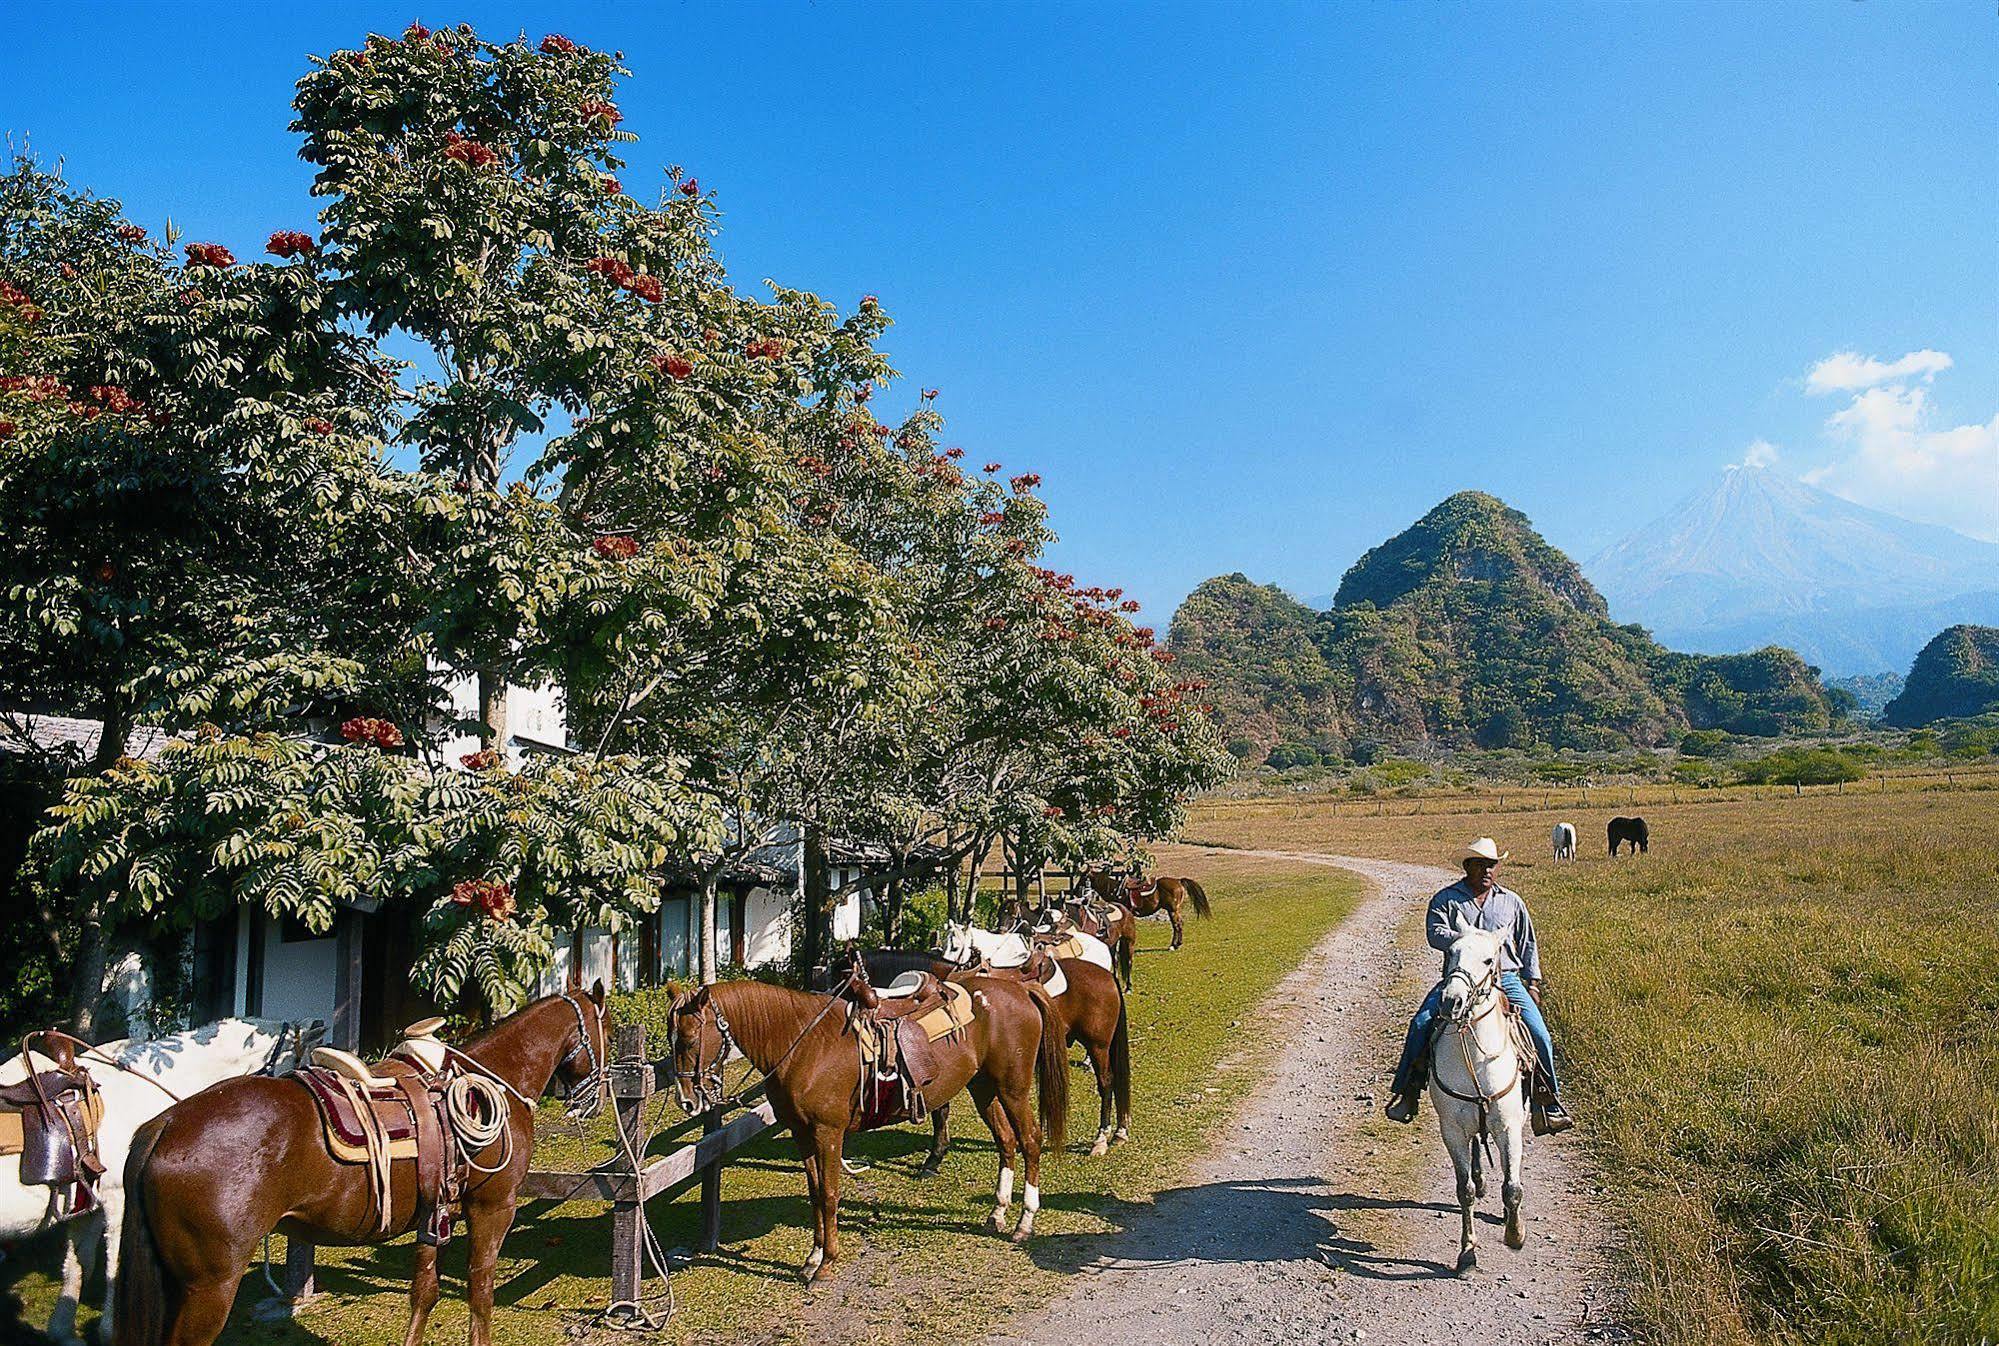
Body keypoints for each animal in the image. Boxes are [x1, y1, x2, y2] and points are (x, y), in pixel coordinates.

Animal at [0, 1012, 319, 1336]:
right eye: (300, 1064)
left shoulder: (88, 1208)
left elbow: (77, 1268)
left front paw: (62, 1331)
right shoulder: (119, 1203)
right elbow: (114, 1269)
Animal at [111, 980, 599, 1336]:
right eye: (604, 1029)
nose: (591, 1099)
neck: (494, 1078)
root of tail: (166, 1124)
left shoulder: (434, 1215)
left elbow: (424, 1294)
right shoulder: (493, 1209)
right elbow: (480, 1295)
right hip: (208, 1288)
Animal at [667, 972, 1071, 1272]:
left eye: (689, 1038)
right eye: (672, 1039)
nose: (687, 1100)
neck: (805, 1044)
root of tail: (1018, 988)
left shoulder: (828, 1133)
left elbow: (829, 1194)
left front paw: (827, 1263)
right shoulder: (802, 1133)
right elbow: (815, 1193)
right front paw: (813, 1257)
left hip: (1012, 1087)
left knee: (1030, 1140)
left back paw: (1024, 1223)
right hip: (983, 1087)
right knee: (1006, 1141)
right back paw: (997, 1213)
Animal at [1423, 912, 1527, 1272]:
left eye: (1488, 959)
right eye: (1450, 952)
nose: (1450, 1002)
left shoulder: (1508, 1126)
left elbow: (1512, 1187)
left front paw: (1515, 1235)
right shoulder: (1452, 1129)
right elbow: (1464, 1189)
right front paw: (1467, 1251)